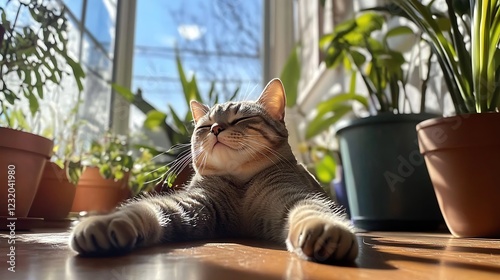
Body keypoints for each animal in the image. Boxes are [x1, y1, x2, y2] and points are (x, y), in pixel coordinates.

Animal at [71, 78, 360, 262]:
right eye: (203, 126)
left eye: (241, 118)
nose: (215, 128)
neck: (241, 184)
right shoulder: (192, 203)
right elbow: (146, 208)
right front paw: (106, 222)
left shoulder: (291, 194)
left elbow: (311, 210)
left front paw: (324, 228)